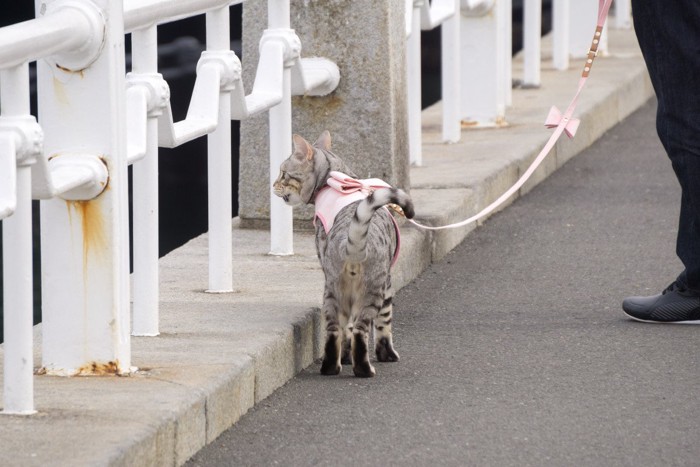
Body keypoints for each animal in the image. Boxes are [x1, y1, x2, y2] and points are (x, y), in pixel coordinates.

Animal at [274, 130, 416, 378]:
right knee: (360, 330)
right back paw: (363, 369)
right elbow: (384, 323)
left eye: (283, 174)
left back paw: (332, 367)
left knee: (335, 330)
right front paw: (387, 354)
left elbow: (355, 329)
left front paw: (348, 357)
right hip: (371, 290)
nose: (273, 185)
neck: (340, 178)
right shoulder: (388, 284)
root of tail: (350, 245)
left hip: (333, 291)